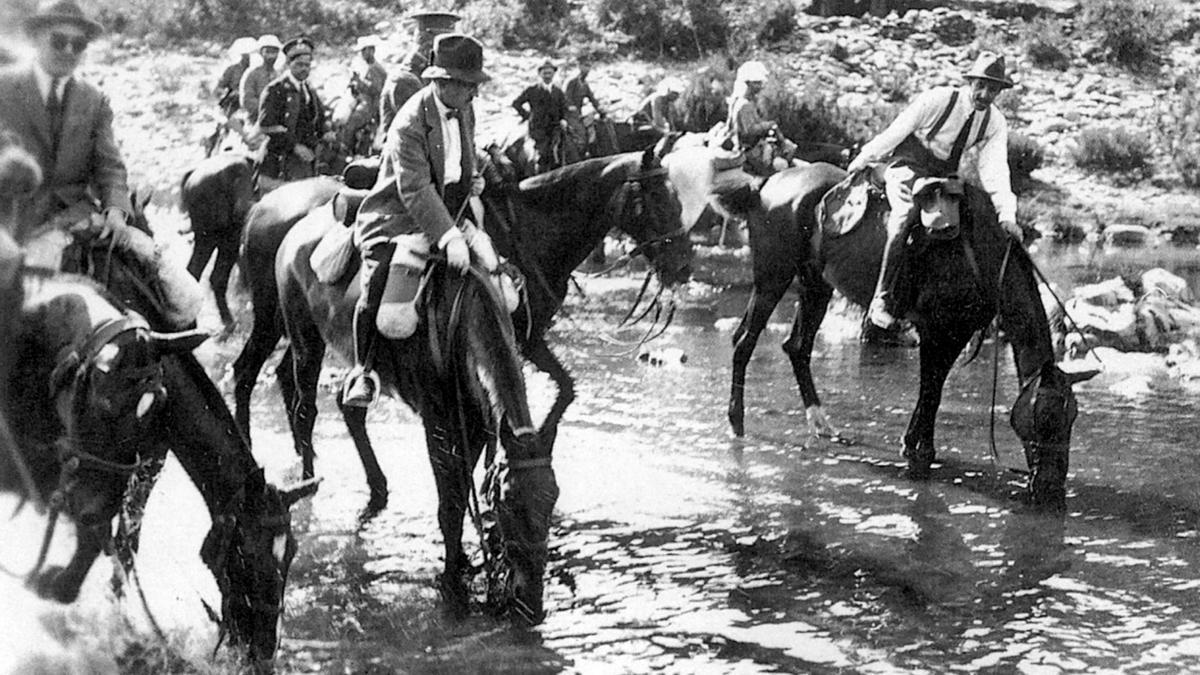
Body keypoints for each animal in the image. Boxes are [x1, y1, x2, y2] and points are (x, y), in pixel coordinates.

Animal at [710, 163, 1099, 506]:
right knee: (744, 341)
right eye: (1046, 417)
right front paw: (920, 451)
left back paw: (824, 426)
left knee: (798, 347)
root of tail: (763, 184)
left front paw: (913, 442)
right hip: (772, 277)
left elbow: (934, 389)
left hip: (815, 284)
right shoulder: (935, 329)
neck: (983, 260)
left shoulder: (956, 332)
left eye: (1072, 417)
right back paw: (737, 423)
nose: (1051, 487)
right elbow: (930, 390)